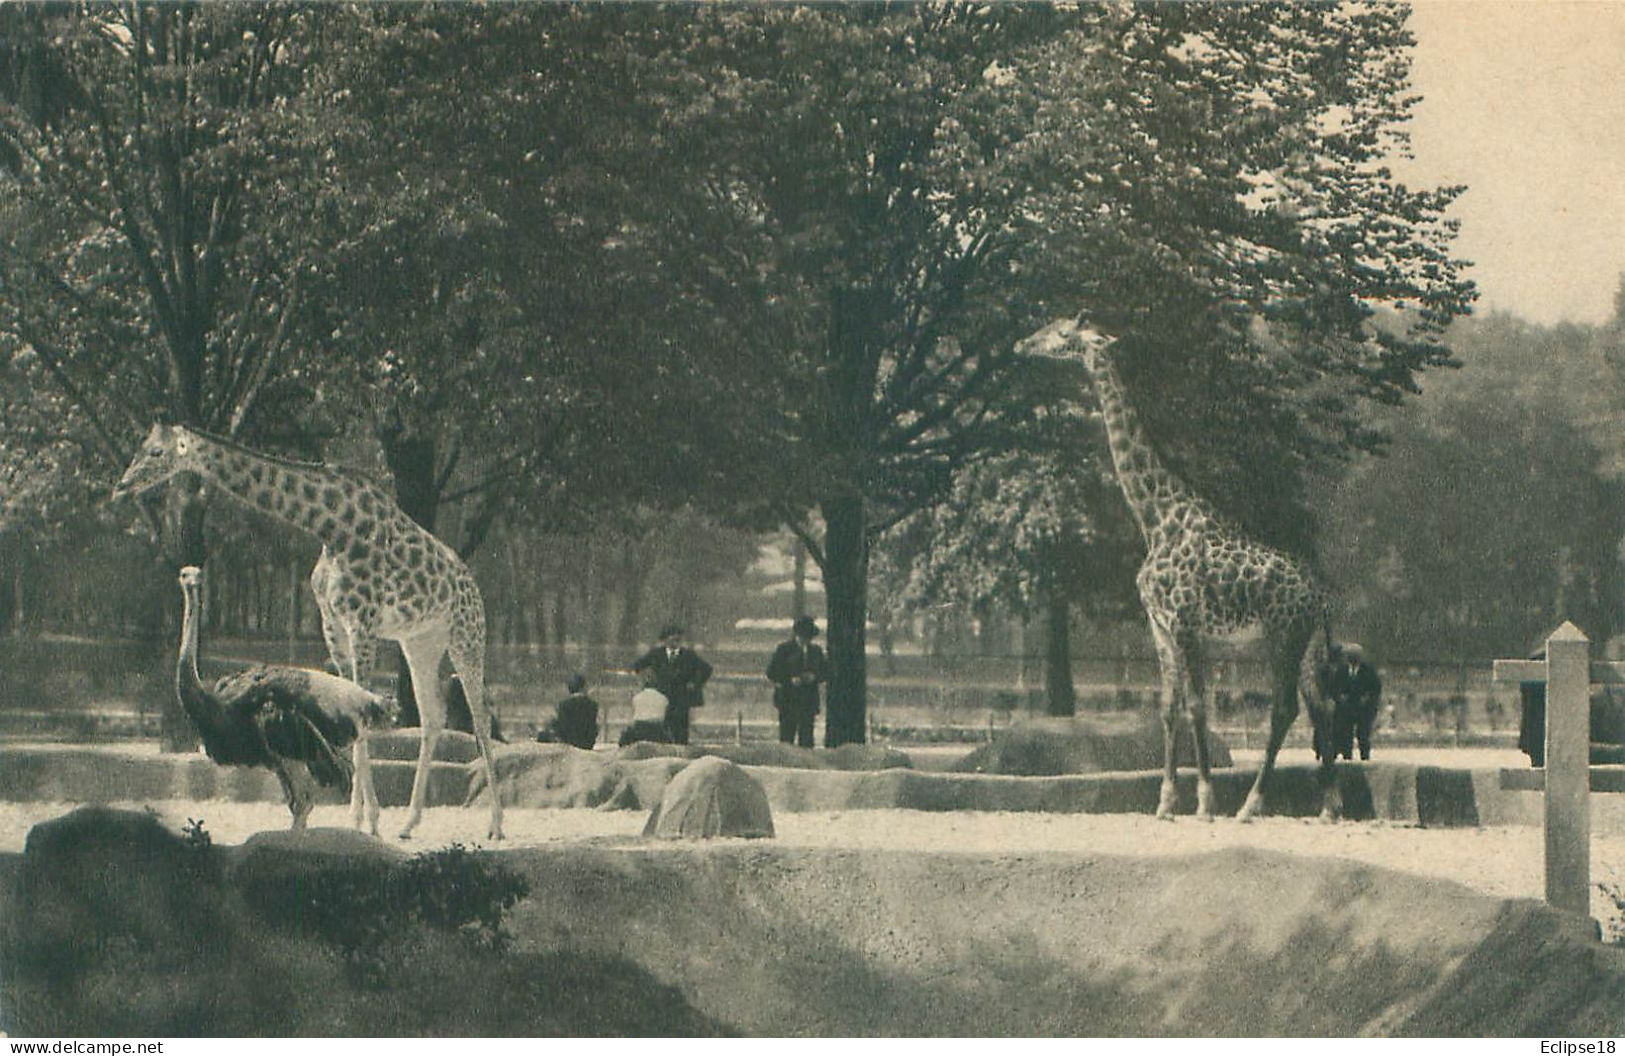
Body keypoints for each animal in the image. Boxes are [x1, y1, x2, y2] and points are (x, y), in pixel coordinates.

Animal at [112, 422, 503, 838]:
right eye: (141, 447)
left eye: (156, 452)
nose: (122, 485)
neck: (332, 528)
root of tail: (471, 584)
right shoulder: (333, 624)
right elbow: (351, 706)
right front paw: (358, 818)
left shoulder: (362, 622)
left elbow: (362, 711)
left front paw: (369, 819)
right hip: (421, 642)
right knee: (433, 716)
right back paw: (410, 822)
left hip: (466, 635)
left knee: (478, 715)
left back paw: (495, 823)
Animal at [1014, 316, 1345, 825]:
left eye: (1062, 333)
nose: (1022, 344)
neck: (1155, 518)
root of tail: (1320, 596)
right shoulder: (1160, 627)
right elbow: (1168, 708)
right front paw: (1165, 803)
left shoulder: (1186, 624)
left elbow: (1196, 707)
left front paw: (1205, 802)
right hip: (1307, 643)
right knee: (1322, 706)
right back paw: (1329, 805)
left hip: (1282, 636)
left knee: (1285, 709)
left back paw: (1250, 805)